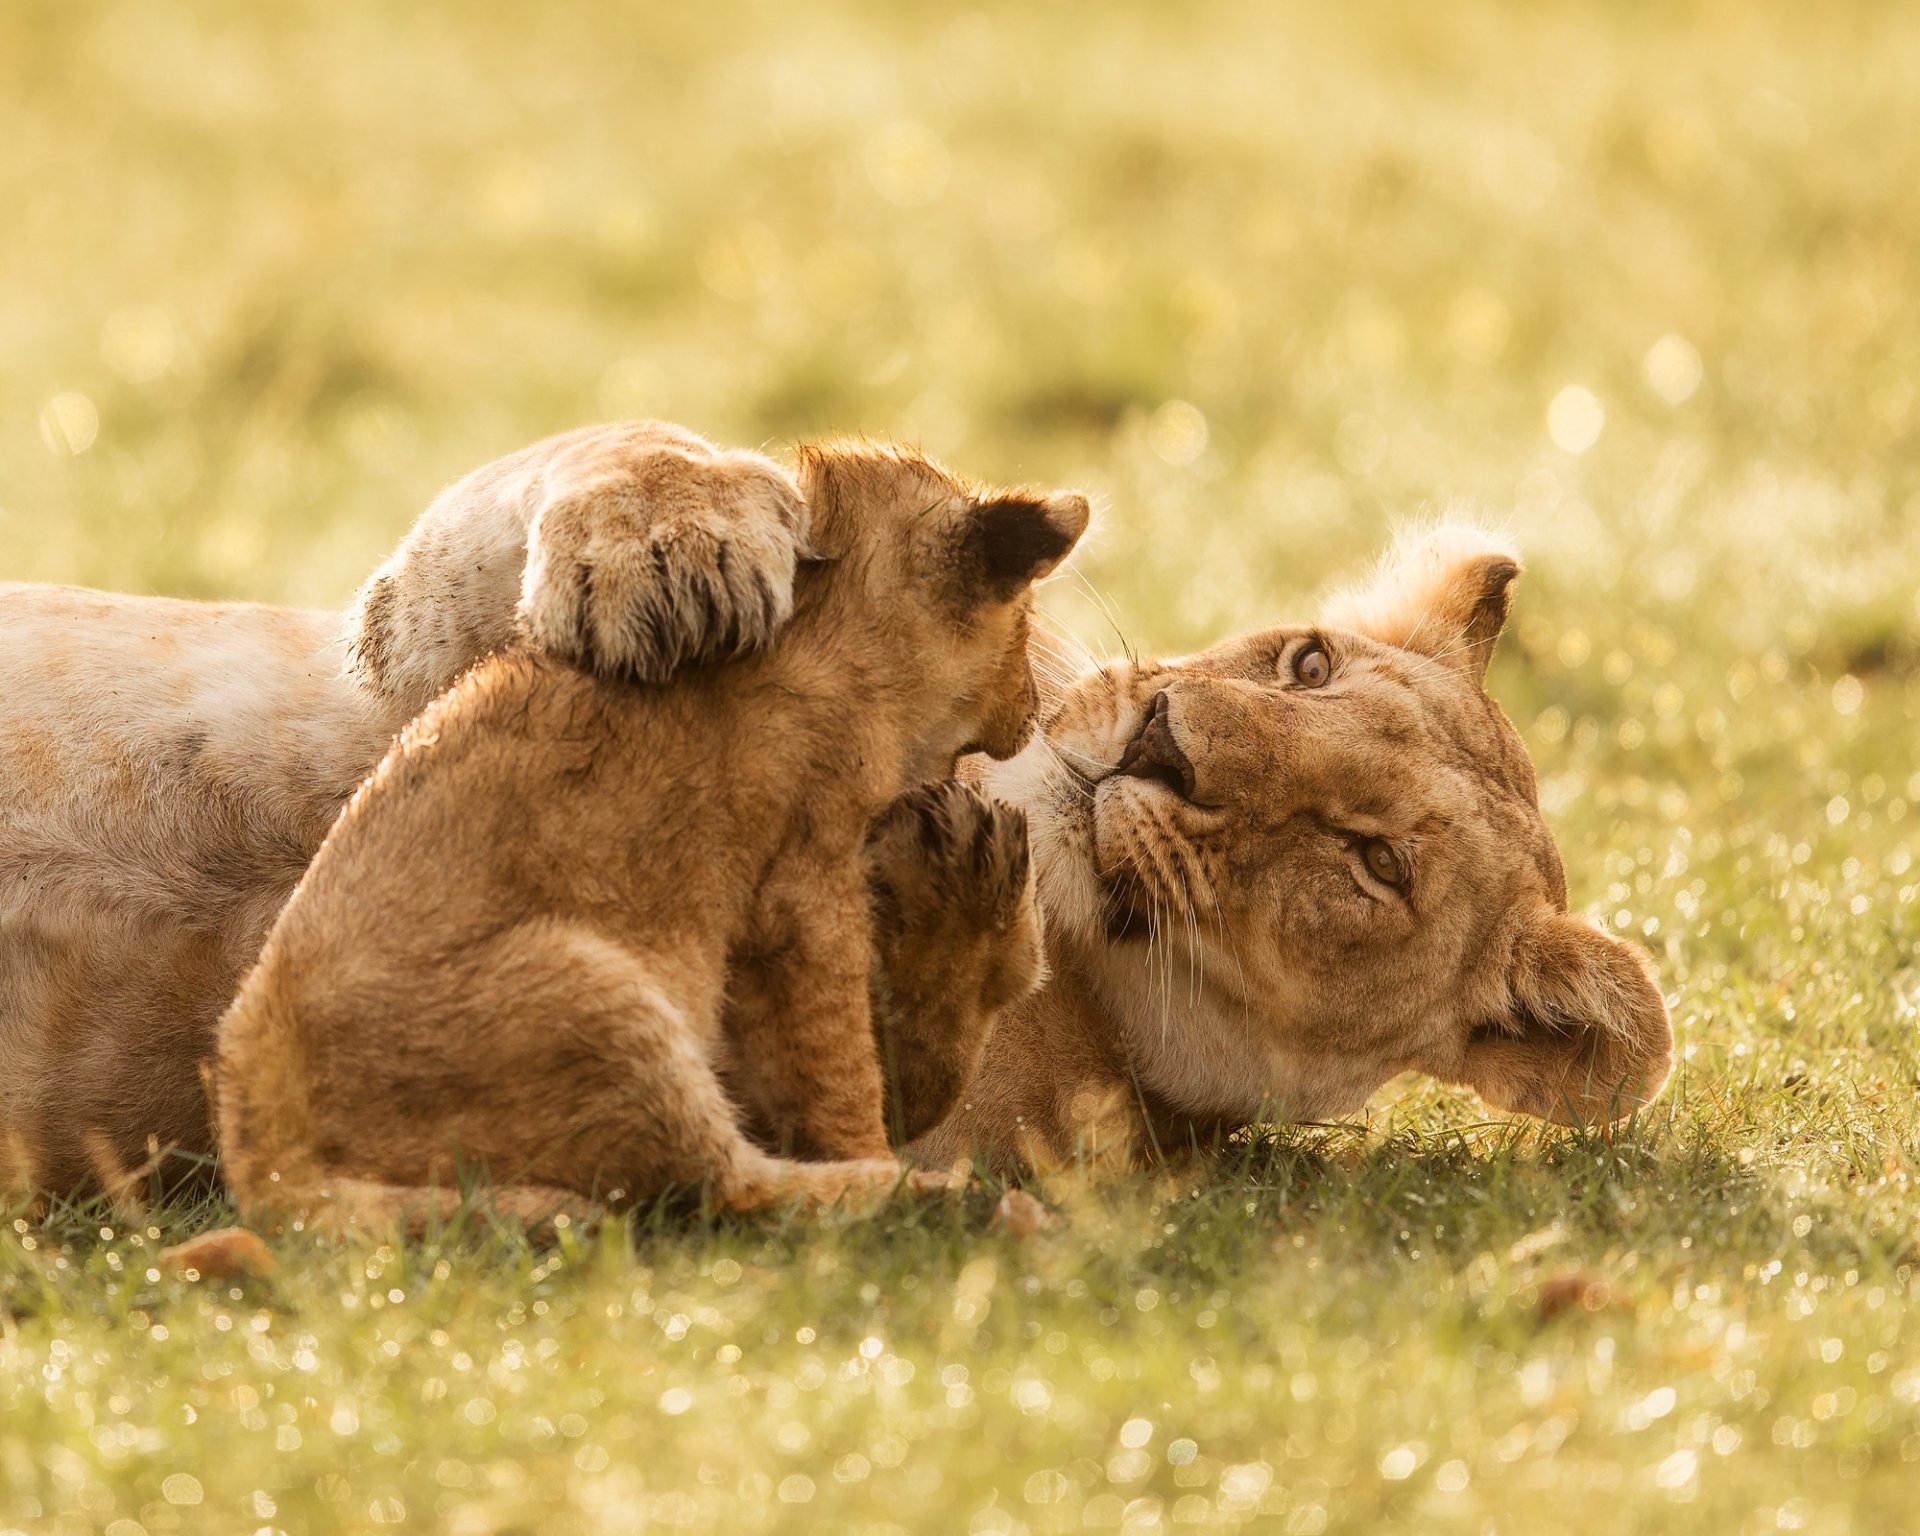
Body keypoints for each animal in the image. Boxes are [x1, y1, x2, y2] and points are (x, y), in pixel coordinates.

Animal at [0, 422, 1058, 1201]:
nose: (1026, 720)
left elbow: (859, 1068)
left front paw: (952, 879)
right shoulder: (396, 639)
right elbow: (622, 439)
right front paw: (676, 549)